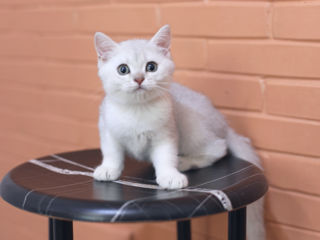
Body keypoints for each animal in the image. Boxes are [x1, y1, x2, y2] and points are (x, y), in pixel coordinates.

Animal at [92, 24, 264, 240]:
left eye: (151, 67)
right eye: (123, 69)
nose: (139, 79)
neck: (137, 109)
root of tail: (223, 123)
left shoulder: (167, 131)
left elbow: (165, 156)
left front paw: (169, 175)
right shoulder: (107, 126)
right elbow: (112, 152)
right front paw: (108, 169)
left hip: (189, 120)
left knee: (219, 148)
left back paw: (184, 162)